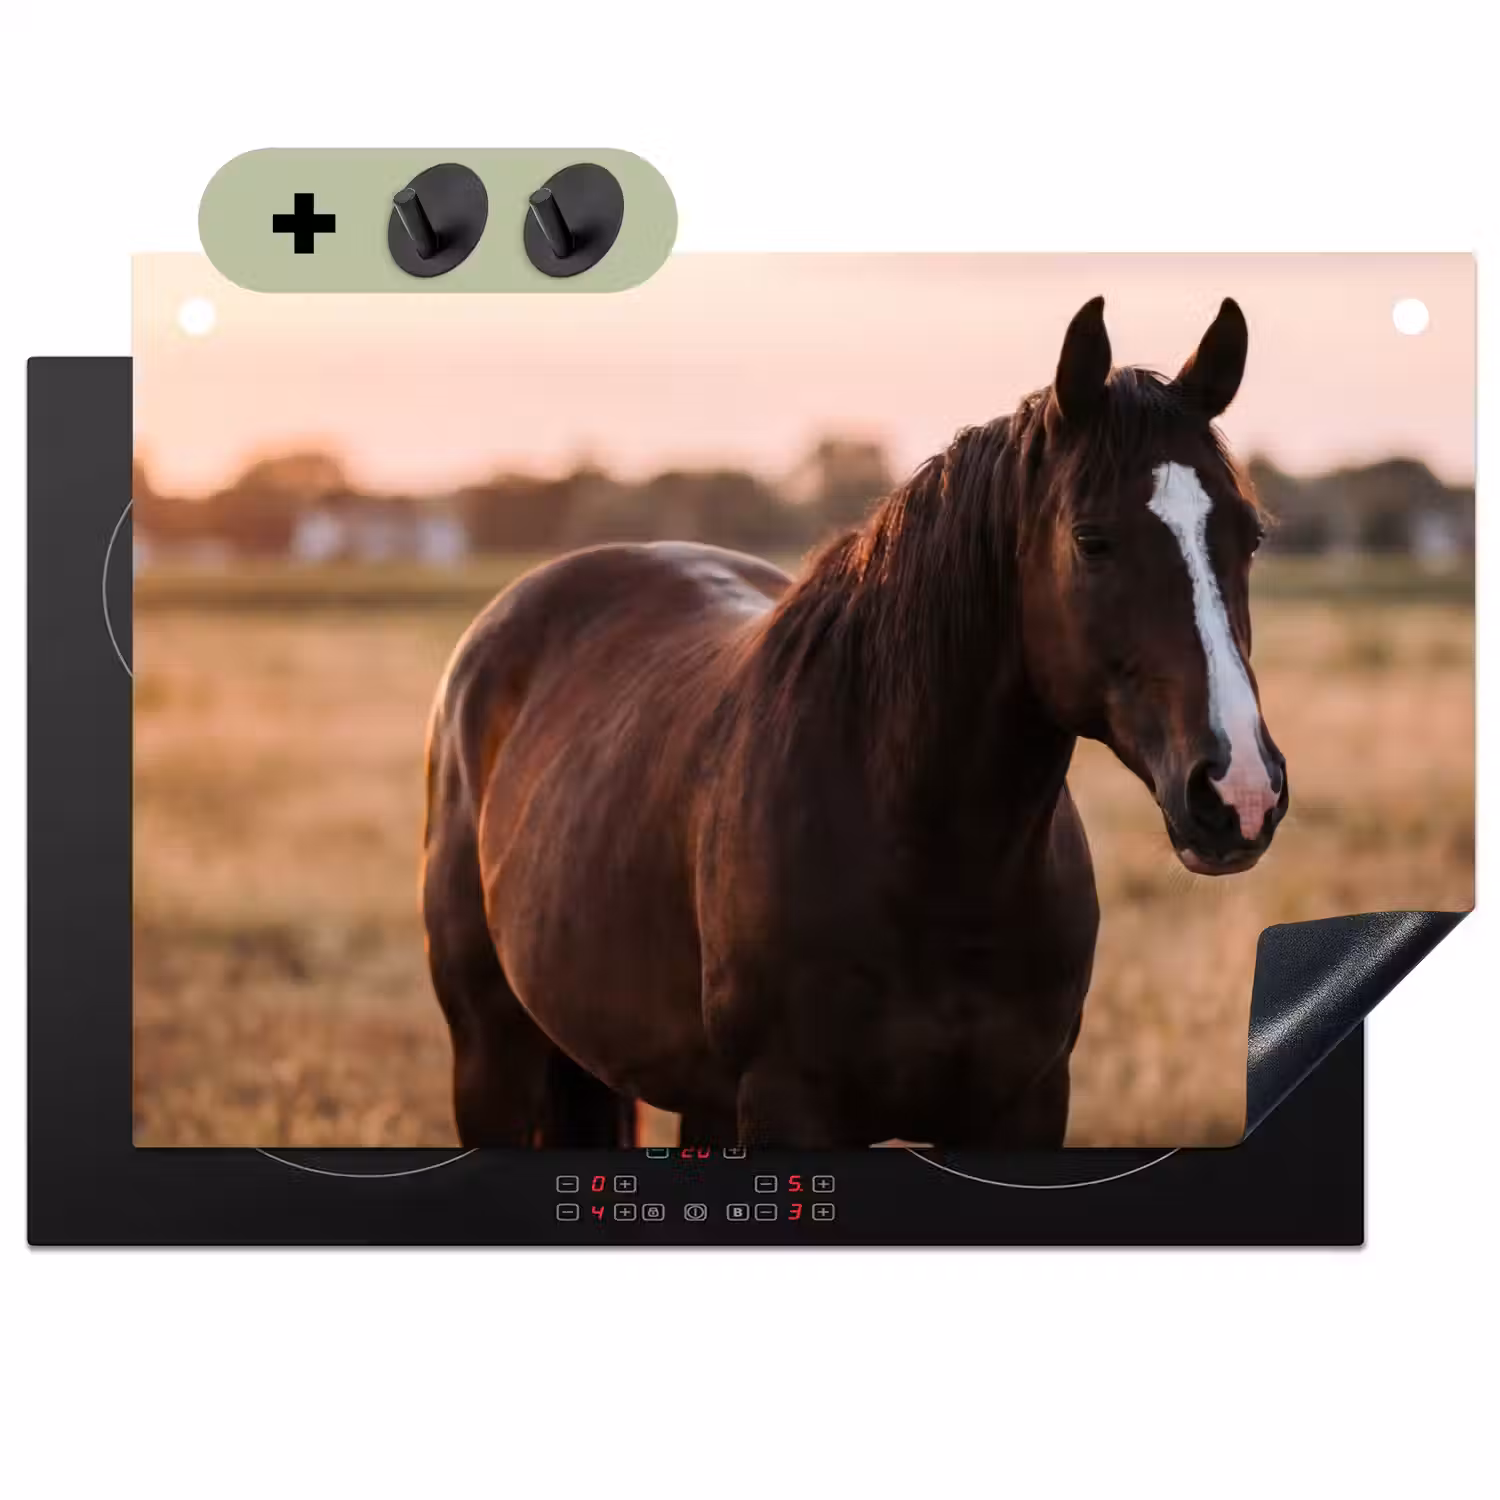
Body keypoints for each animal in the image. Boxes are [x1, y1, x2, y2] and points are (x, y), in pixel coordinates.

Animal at [420, 296, 1289, 1148]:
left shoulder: (1028, 1105)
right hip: (490, 1056)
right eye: (1092, 540)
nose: (1239, 791)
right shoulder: (786, 1104)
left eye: (1250, 535)